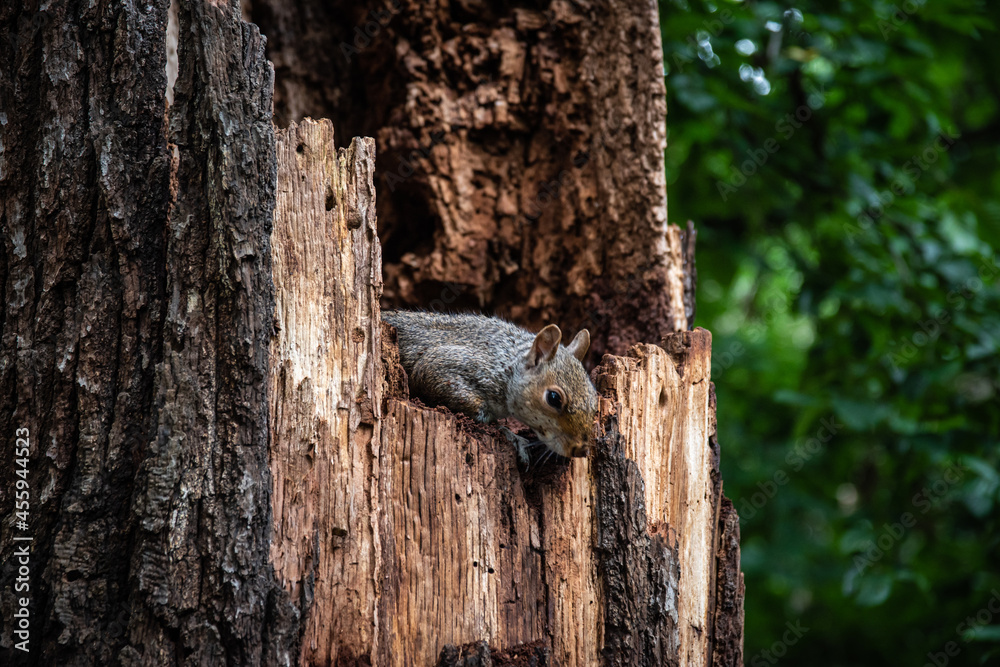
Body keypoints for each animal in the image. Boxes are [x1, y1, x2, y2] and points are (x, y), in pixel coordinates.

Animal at [381, 310, 598, 462]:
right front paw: (510, 435)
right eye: (553, 398)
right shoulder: (447, 366)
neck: (507, 363)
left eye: (595, 399)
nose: (581, 450)